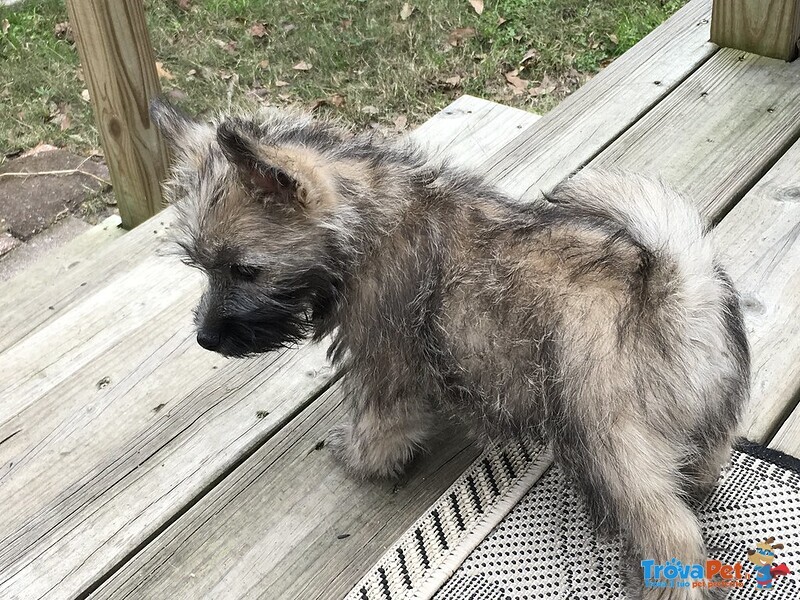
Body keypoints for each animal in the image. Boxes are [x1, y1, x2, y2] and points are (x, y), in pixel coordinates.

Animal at [150, 99, 752, 600]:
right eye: (201, 265)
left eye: (245, 269)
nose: (206, 338)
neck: (363, 222)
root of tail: (675, 292)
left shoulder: (382, 362)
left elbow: (378, 423)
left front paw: (362, 458)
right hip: (699, 417)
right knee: (705, 462)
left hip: (607, 441)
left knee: (670, 533)